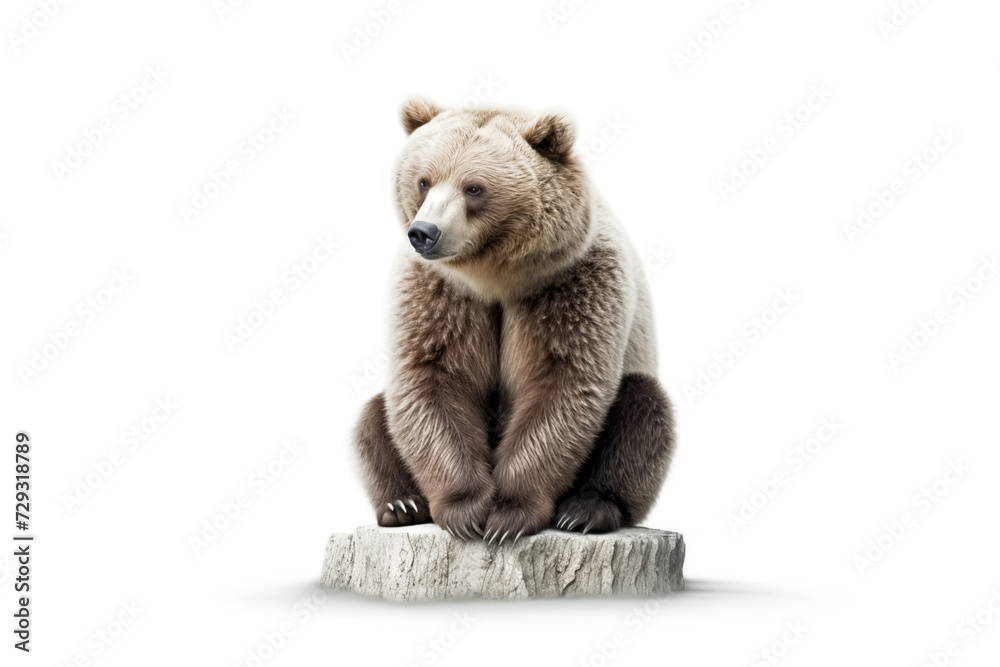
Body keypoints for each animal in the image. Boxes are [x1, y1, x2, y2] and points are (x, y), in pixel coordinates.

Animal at [353, 97, 675, 543]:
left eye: (474, 188)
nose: (424, 232)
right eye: (423, 181)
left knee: (644, 409)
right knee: (373, 417)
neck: (496, 280)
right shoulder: (439, 293)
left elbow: (563, 384)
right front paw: (466, 510)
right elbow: (431, 377)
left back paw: (588, 510)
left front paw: (509, 515)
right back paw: (402, 505)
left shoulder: (572, 284)